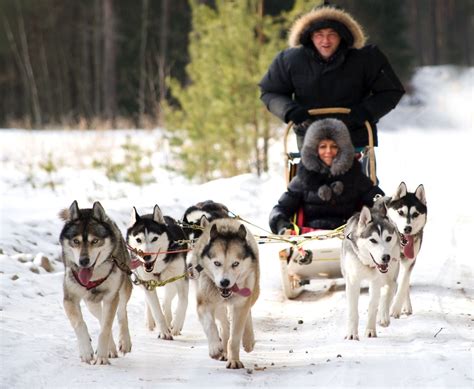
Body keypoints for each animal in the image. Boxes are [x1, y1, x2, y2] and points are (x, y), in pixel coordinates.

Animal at [60, 200, 133, 364]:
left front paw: (101, 357)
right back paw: (110, 348)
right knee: (100, 317)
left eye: (95, 241)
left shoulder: (111, 297)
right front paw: (87, 352)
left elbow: (106, 328)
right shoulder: (69, 298)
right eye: (76, 241)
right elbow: (80, 323)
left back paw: (124, 342)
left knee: (121, 312)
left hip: (123, 289)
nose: (83, 261)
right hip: (90, 303)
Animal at [126, 205, 189, 338]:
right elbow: (156, 309)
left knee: (167, 301)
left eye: (154, 238)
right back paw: (151, 321)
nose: (146, 256)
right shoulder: (147, 282)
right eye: (138, 240)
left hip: (171, 281)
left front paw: (176, 325)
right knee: (150, 302)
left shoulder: (181, 278)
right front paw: (164, 331)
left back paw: (170, 319)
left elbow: (184, 301)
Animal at [191, 218, 262, 366]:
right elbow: (210, 325)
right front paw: (214, 348)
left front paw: (234, 360)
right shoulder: (204, 304)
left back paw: (248, 339)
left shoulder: (241, 305)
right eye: (217, 263)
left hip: (252, 293)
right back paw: (223, 349)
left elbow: (234, 337)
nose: (224, 282)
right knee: (224, 324)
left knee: (247, 312)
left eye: (235, 263)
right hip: (217, 303)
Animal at [340, 205, 400, 338]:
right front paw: (352, 334)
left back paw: (384, 315)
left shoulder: (376, 281)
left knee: (391, 287)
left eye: (388, 238)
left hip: (391, 273)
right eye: (373, 240)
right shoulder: (353, 281)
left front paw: (370, 330)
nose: (386, 257)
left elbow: (373, 305)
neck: (368, 265)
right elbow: (352, 310)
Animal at [380, 180, 428, 316]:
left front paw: (396, 308)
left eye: (415, 214)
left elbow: (403, 285)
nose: (407, 228)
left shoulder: (409, 262)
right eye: (400, 212)